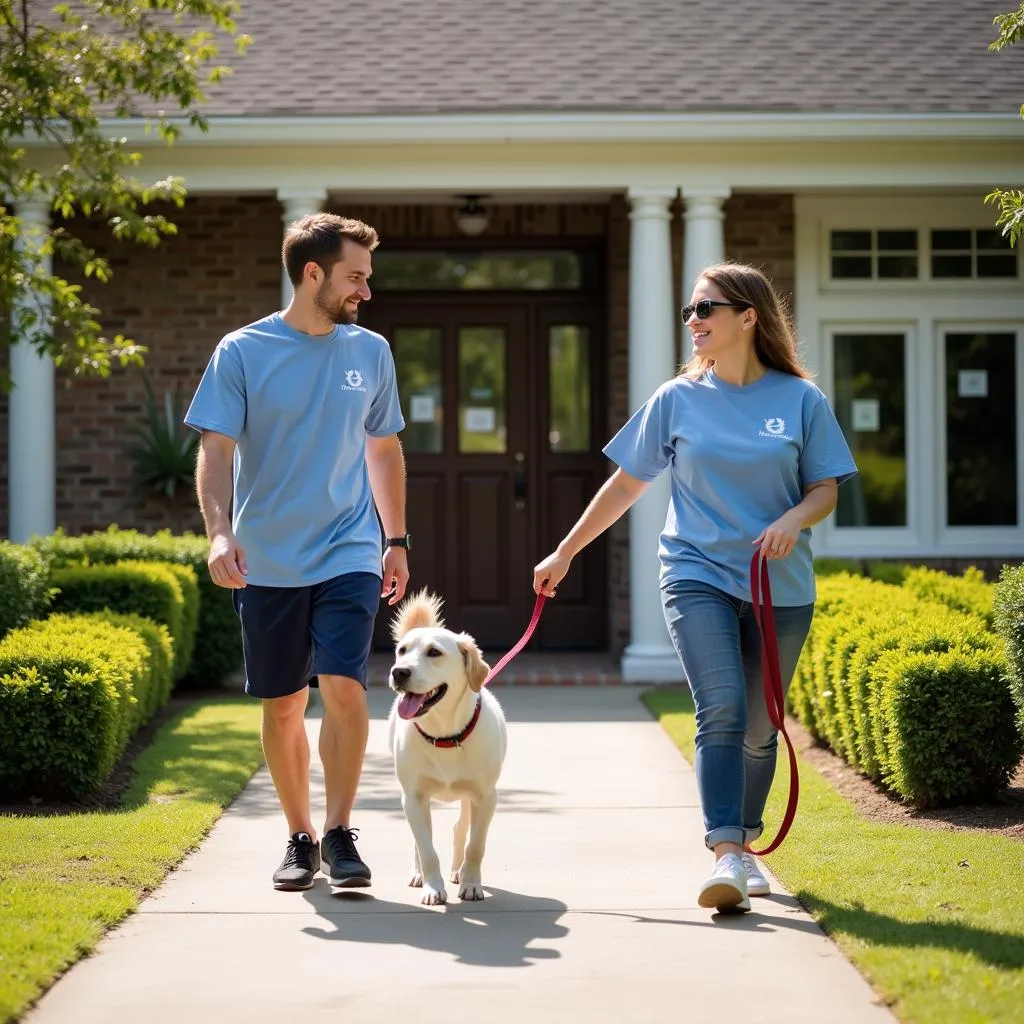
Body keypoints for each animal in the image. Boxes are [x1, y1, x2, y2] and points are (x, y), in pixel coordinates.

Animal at [385, 593, 505, 905]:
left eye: (434, 652)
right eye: (401, 650)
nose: (398, 672)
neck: (444, 735)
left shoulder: (486, 797)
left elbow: (476, 845)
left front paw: (471, 883)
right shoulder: (413, 797)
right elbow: (426, 848)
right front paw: (432, 887)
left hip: (468, 797)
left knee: (461, 827)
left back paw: (457, 871)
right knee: (420, 839)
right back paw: (419, 875)